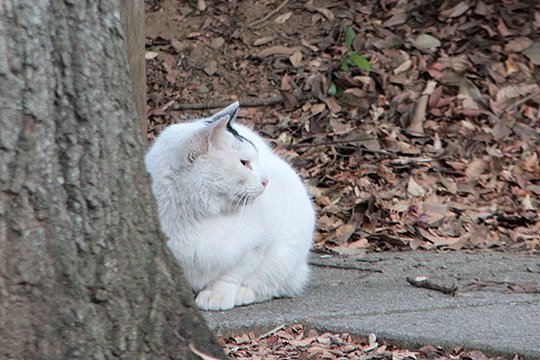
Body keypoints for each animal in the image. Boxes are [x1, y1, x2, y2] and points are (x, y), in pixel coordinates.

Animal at [146, 101, 314, 310]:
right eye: (244, 163)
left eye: (256, 161)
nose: (266, 180)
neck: (196, 215)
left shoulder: (259, 245)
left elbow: (233, 272)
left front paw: (217, 294)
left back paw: (244, 293)